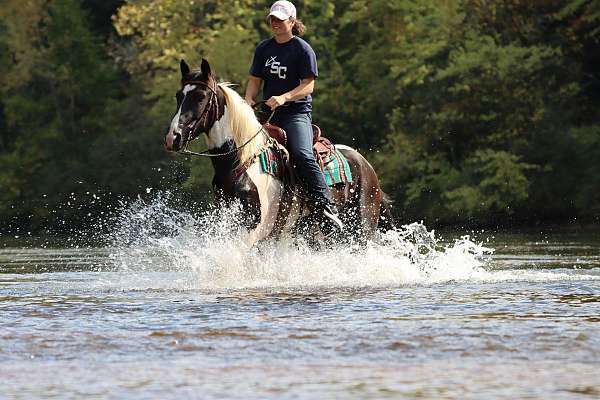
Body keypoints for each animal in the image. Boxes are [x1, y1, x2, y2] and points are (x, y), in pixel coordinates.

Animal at [164, 58, 394, 247]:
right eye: (178, 96)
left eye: (200, 96)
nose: (173, 137)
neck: (240, 163)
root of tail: (365, 165)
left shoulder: (254, 229)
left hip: (363, 227)